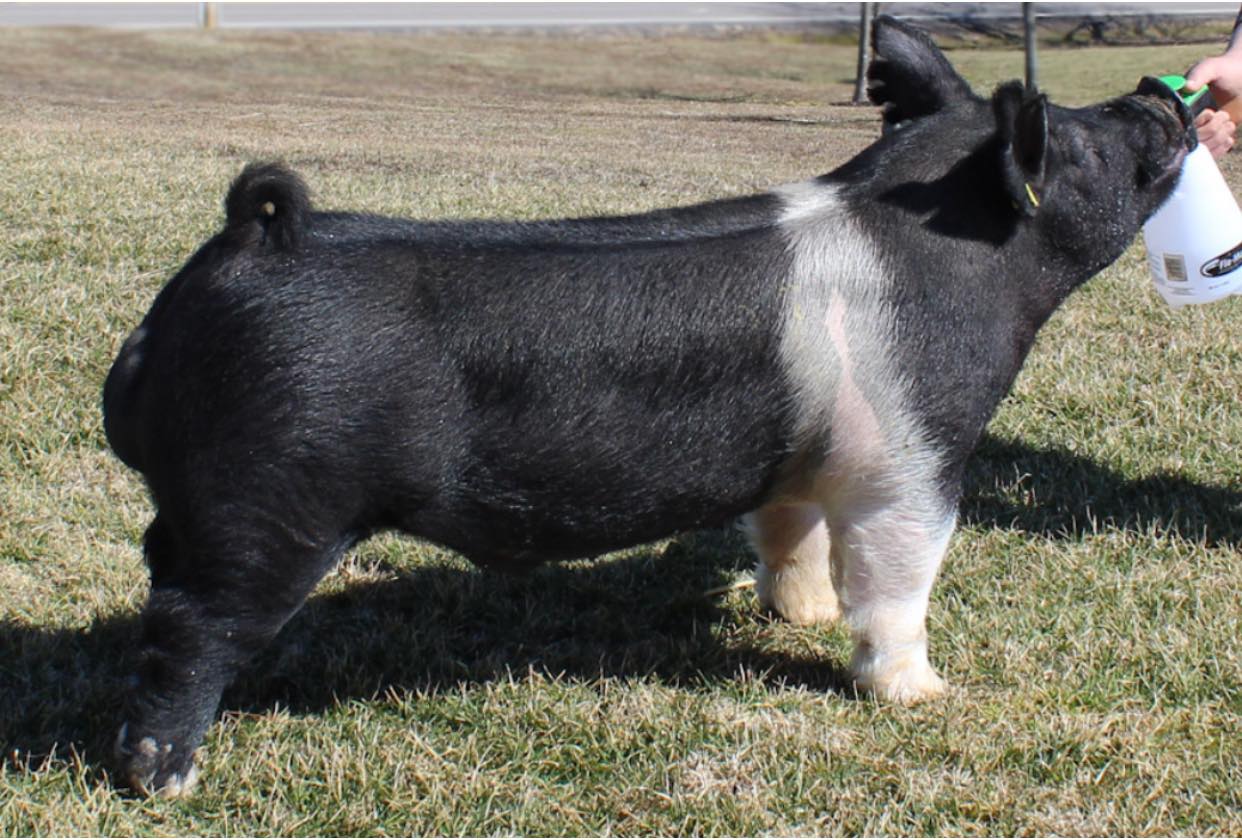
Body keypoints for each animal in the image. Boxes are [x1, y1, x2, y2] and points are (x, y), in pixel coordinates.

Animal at [103, 16, 1196, 796]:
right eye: (1084, 147)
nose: (1157, 93)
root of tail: (244, 245)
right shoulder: (915, 458)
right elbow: (898, 583)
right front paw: (923, 696)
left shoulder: (805, 458)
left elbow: (788, 531)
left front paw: (797, 614)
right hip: (269, 503)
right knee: (187, 632)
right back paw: (167, 783)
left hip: (204, 504)